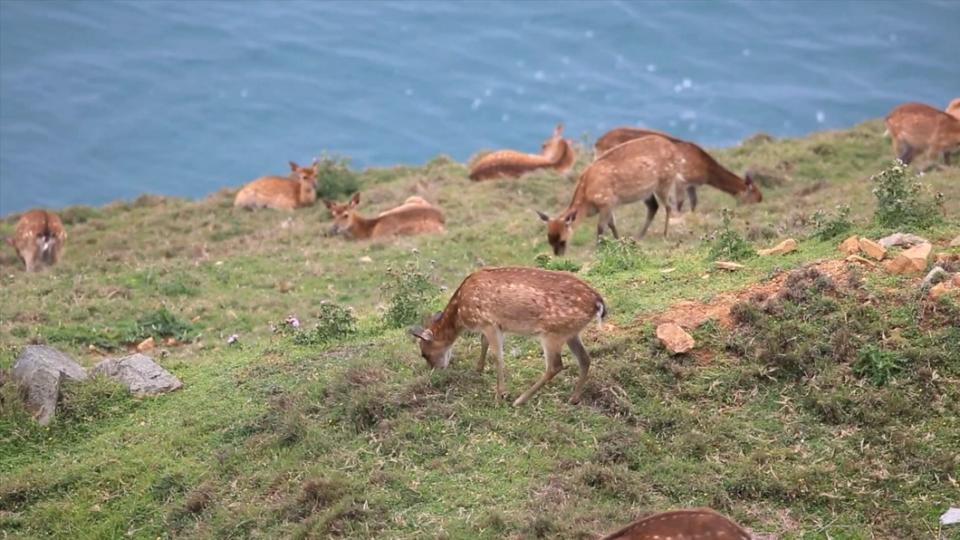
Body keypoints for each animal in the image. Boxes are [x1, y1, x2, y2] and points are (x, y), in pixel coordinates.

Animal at [406, 266, 604, 404]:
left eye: (424, 353)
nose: (436, 370)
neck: (462, 312)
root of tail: (599, 302)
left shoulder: (489, 322)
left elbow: (498, 356)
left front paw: (501, 393)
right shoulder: (493, 325)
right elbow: (483, 342)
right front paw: (478, 369)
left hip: (552, 332)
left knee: (555, 366)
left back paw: (520, 400)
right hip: (571, 332)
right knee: (585, 359)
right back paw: (573, 398)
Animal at [596, 127, 760, 216]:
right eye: (754, 193)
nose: (761, 199)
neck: (706, 168)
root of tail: (598, 143)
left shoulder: (692, 185)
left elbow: (694, 202)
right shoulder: (682, 180)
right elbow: (679, 203)